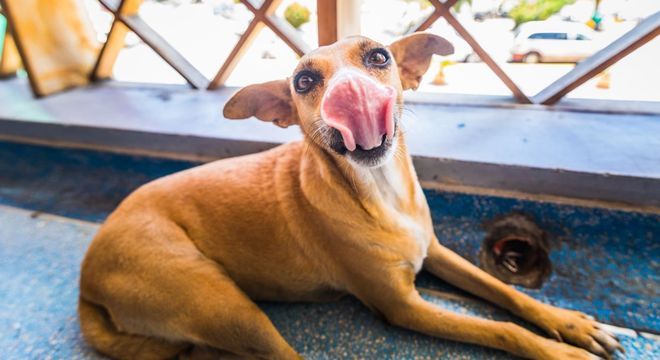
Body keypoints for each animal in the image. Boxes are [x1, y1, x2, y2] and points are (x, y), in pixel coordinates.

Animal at [80, 33, 620, 360]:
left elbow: (508, 293)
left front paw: (568, 324)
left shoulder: (435, 251)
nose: (352, 91)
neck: (380, 192)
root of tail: (87, 280)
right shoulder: (404, 307)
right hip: (224, 304)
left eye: (379, 56)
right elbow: (500, 328)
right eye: (303, 80)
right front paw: (561, 352)